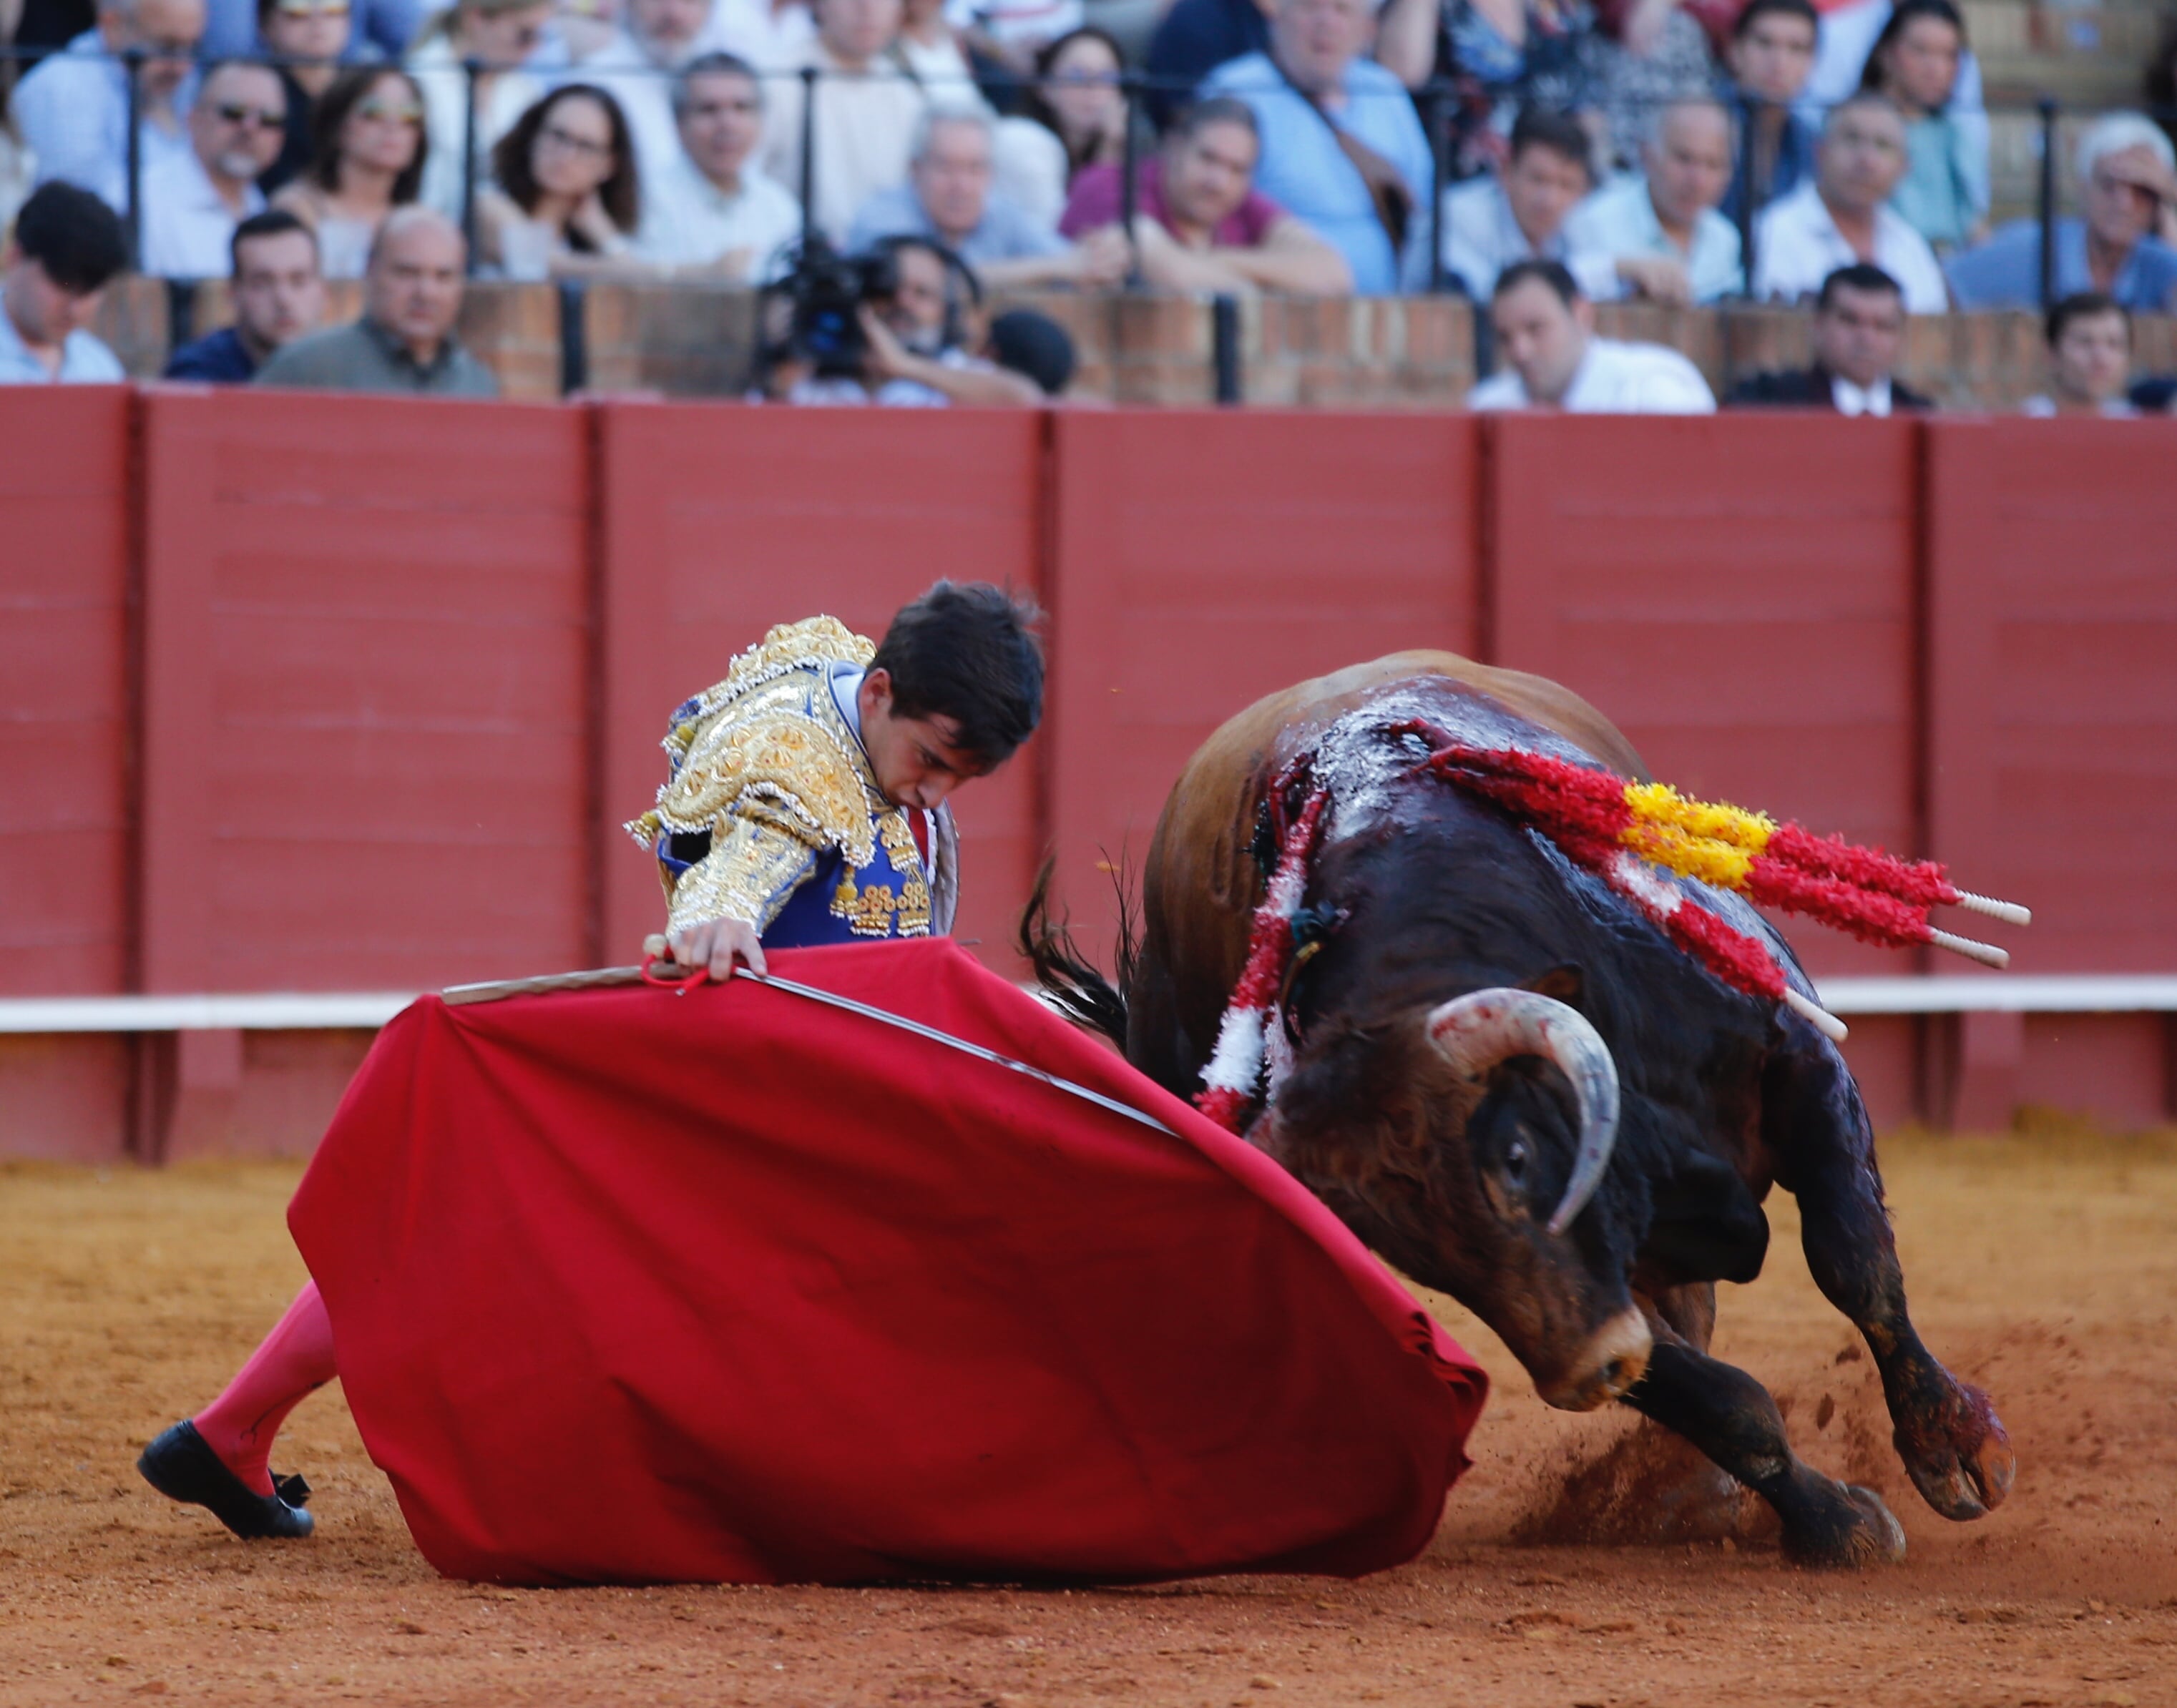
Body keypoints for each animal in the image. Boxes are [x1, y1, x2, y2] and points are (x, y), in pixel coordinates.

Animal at [1027, 648, 2011, 1558]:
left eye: (1515, 1158)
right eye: (1408, 1251)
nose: (1584, 1375)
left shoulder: (1802, 1062)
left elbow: (1855, 1262)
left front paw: (1955, 1449)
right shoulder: (1583, 1280)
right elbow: (1711, 1392)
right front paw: (1832, 1521)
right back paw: (1694, 1496)